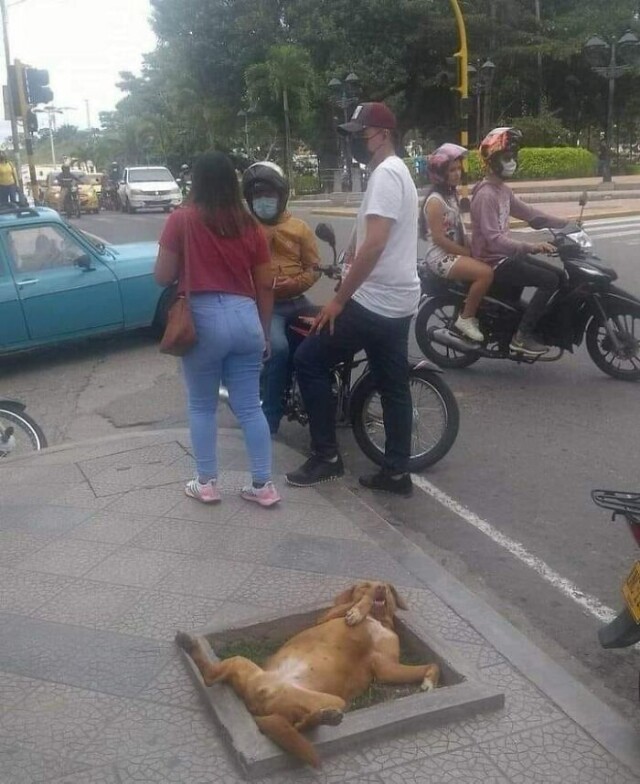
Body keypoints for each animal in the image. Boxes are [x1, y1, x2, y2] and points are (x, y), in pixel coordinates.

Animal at [175, 580, 440, 764]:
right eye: (366, 584)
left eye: (386, 585)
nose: (381, 587)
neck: (377, 620)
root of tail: (257, 706)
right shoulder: (326, 616)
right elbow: (353, 604)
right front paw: (358, 609)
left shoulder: (386, 667)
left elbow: (431, 665)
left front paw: (429, 681)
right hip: (250, 667)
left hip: (326, 699)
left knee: (301, 726)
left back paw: (326, 718)